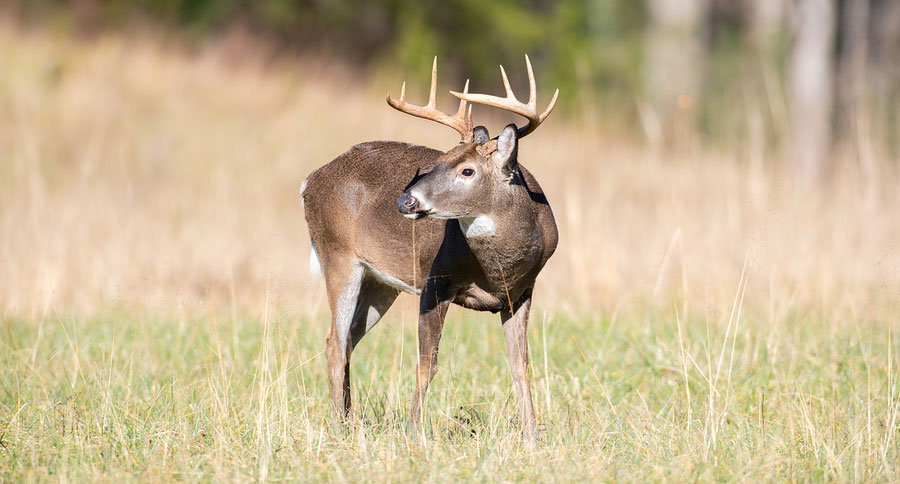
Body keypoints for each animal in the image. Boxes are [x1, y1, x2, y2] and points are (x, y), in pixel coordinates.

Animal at [300, 56, 556, 438]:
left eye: (467, 170)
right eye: (437, 162)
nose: (405, 200)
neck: (501, 265)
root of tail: (308, 181)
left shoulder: (522, 291)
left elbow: (520, 365)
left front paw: (533, 436)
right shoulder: (437, 279)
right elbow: (427, 363)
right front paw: (414, 431)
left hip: (380, 283)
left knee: (348, 342)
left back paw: (348, 418)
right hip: (338, 254)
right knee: (334, 343)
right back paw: (339, 427)